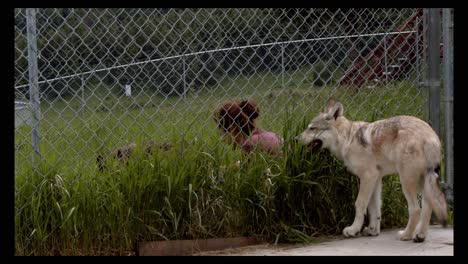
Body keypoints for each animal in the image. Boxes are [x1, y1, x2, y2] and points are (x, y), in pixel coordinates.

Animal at [296, 98, 450, 242]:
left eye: (312, 128)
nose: (295, 139)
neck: (348, 139)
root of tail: (431, 136)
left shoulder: (368, 176)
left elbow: (360, 204)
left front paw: (353, 230)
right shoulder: (376, 179)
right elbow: (374, 209)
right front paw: (372, 231)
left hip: (406, 182)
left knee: (416, 210)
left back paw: (405, 235)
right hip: (423, 183)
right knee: (427, 208)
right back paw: (419, 236)